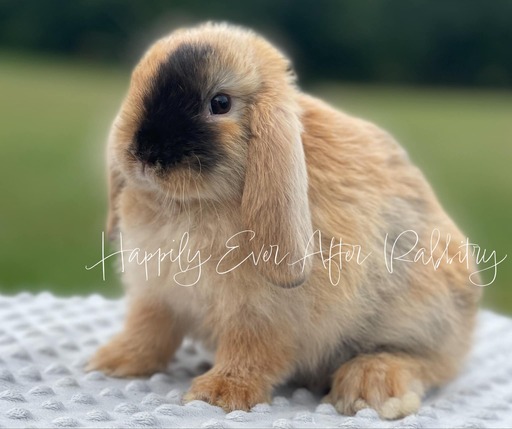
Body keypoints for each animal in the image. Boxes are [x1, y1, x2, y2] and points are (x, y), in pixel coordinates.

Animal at [86, 20, 482, 418]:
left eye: (220, 103)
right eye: (140, 84)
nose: (145, 153)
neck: (190, 204)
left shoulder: (261, 315)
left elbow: (251, 352)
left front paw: (219, 395)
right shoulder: (156, 296)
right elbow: (148, 332)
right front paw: (112, 362)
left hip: (426, 320)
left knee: (430, 363)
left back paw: (371, 388)